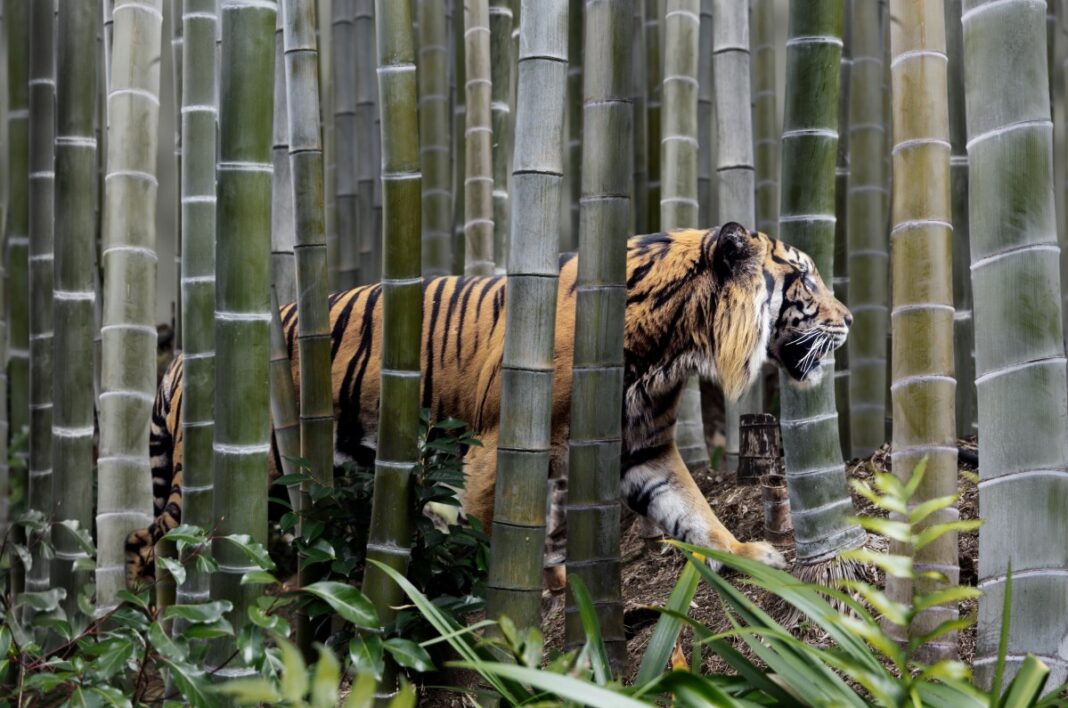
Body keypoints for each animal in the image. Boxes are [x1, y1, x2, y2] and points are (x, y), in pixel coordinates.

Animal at [128, 222, 852, 583]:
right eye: (805, 280)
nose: (850, 320)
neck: (674, 339)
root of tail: (180, 363)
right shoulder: (499, 438)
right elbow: (481, 528)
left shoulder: (642, 447)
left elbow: (694, 512)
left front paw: (750, 553)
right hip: (235, 471)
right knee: (151, 549)